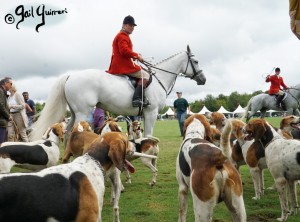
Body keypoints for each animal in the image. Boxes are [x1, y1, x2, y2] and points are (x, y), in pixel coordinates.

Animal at [30, 45, 206, 140]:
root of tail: (70, 75)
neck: (159, 78)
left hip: (74, 113)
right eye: (196, 61)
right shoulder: (151, 112)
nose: (203, 79)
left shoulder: (143, 115)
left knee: (67, 134)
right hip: (83, 113)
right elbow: (149, 135)